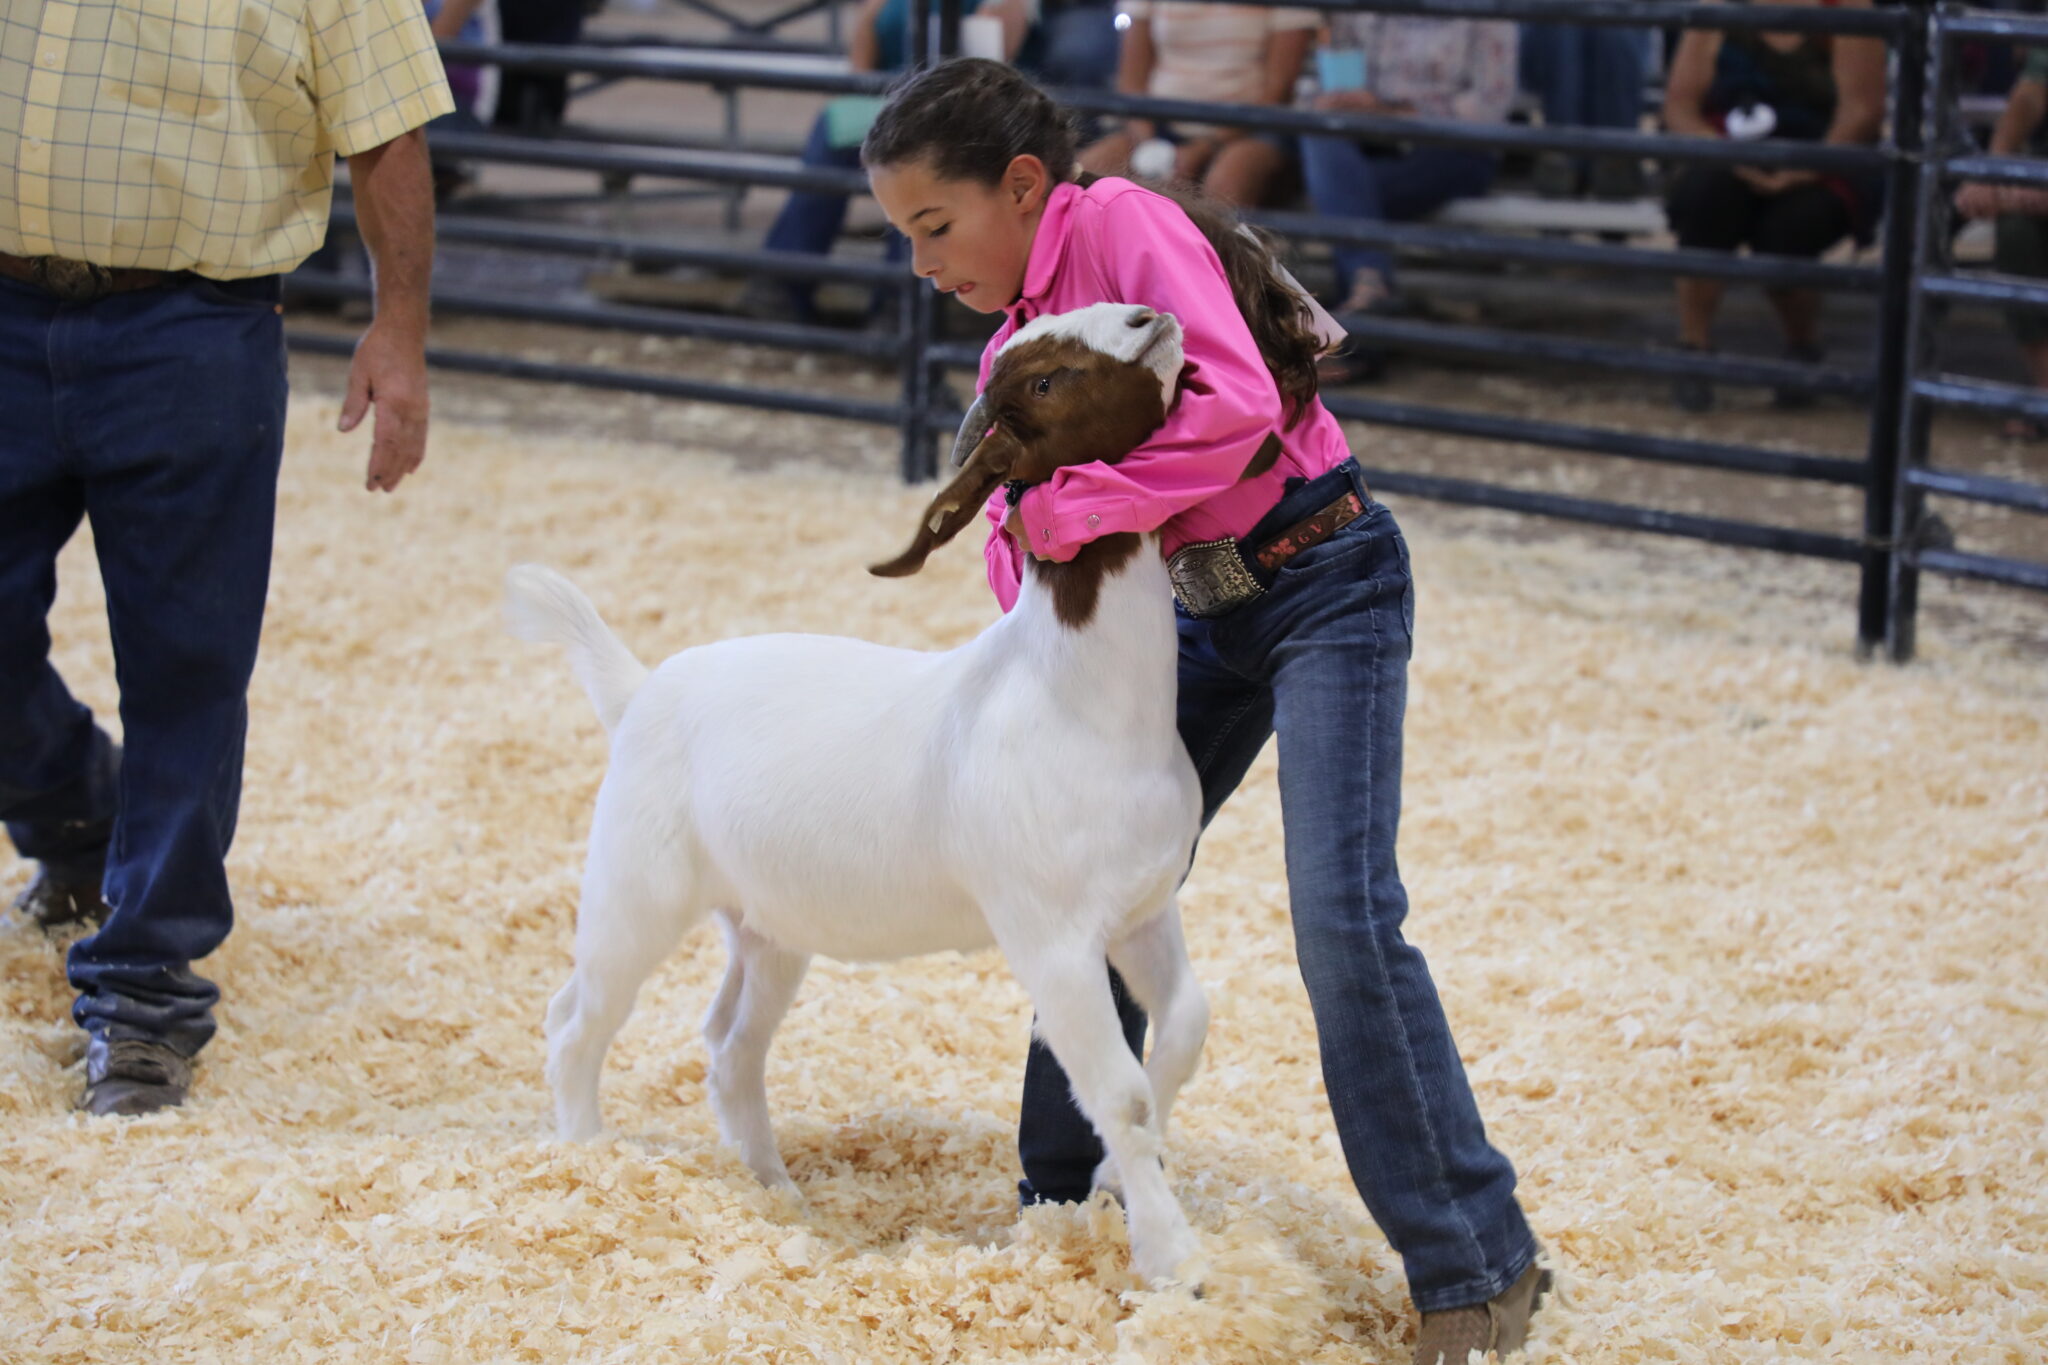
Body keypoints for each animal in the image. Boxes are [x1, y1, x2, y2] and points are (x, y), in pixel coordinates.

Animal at [503, 300, 1253, 1293]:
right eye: (1043, 379)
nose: (1150, 316)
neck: (1082, 701)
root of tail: (637, 690)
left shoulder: (1140, 911)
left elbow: (1187, 1028)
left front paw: (1105, 1184)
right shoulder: (1050, 937)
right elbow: (1120, 1092)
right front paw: (1174, 1260)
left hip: (767, 926)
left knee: (728, 1044)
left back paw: (772, 1189)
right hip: (635, 886)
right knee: (577, 1020)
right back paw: (587, 1158)